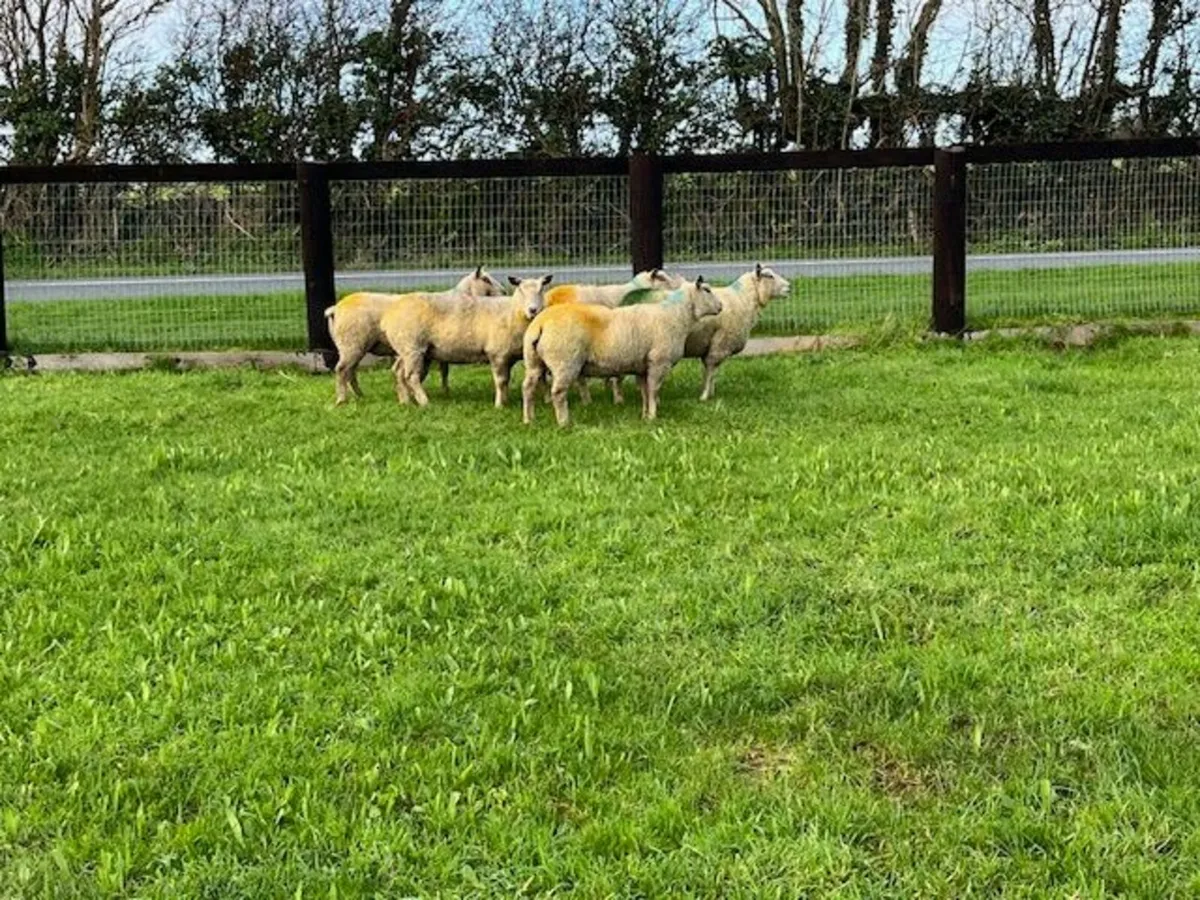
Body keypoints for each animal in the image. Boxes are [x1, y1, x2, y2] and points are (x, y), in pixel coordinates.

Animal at [324, 267, 505, 405]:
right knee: (342, 369)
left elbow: (441, 370)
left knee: (350, 371)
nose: (504, 291)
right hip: (352, 343)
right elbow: (433, 371)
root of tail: (335, 308)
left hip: (352, 346)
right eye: (486, 279)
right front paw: (435, 393)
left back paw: (359, 395)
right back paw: (342, 399)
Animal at [382, 274, 553, 409]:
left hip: (410, 351)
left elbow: (510, 380)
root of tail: (389, 314)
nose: (533, 310)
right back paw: (424, 402)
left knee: (399, 372)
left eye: (541, 289)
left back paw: (406, 401)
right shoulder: (497, 353)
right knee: (411, 376)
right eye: (521, 290)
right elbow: (500, 381)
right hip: (412, 347)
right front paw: (499, 405)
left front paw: (506, 400)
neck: (512, 311)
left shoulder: (509, 356)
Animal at [521, 276, 722, 427]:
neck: (677, 315)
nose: (721, 306)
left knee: (528, 387)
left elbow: (645, 391)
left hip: (533, 361)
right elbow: (654, 390)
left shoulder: (643, 366)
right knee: (558, 392)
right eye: (707, 290)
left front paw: (645, 415)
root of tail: (540, 323)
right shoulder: (659, 361)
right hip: (565, 361)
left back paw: (529, 419)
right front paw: (653, 416)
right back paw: (564, 422)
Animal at [685, 264, 791, 401]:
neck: (741, 298)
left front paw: (710, 393)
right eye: (769, 276)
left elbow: (711, 372)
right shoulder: (720, 344)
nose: (789, 287)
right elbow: (711, 371)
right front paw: (705, 395)